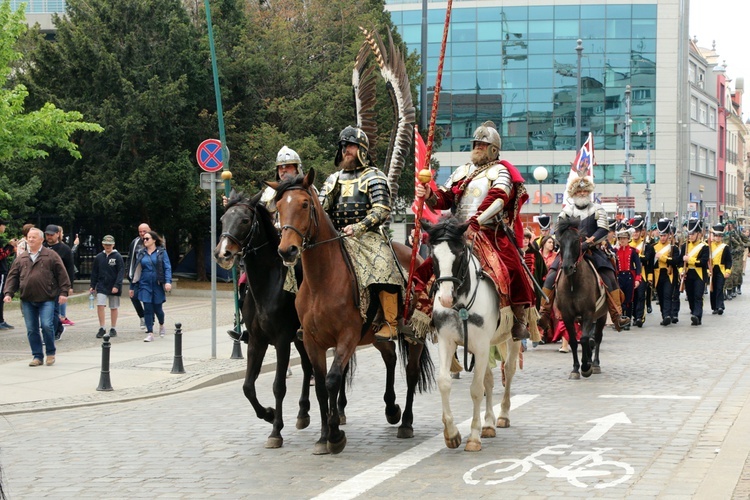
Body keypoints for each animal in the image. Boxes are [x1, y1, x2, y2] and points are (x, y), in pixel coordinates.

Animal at [270, 170, 434, 456]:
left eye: (304, 204)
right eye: (279, 206)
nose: (286, 250)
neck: (322, 281)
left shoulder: (346, 337)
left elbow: (334, 379)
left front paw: (335, 435)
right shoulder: (313, 342)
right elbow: (321, 386)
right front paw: (324, 435)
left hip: (415, 334)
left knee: (411, 371)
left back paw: (406, 422)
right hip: (374, 335)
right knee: (390, 357)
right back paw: (391, 409)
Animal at [424, 217, 524, 452]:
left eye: (459, 254)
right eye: (433, 255)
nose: (445, 298)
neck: (461, 302)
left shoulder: (480, 345)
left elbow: (477, 389)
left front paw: (473, 437)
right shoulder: (447, 341)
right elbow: (444, 382)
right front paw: (452, 434)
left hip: (508, 339)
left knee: (509, 370)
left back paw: (503, 415)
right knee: (489, 379)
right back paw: (488, 424)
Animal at [556, 218, 608, 378]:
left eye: (576, 241)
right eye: (560, 241)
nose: (567, 267)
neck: (573, 283)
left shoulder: (588, 313)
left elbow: (584, 339)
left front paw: (585, 367)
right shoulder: (567, 315)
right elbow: (574, 340)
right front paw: (575, 368)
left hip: (602, 315)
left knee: (597, 337)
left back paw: (595, 363)